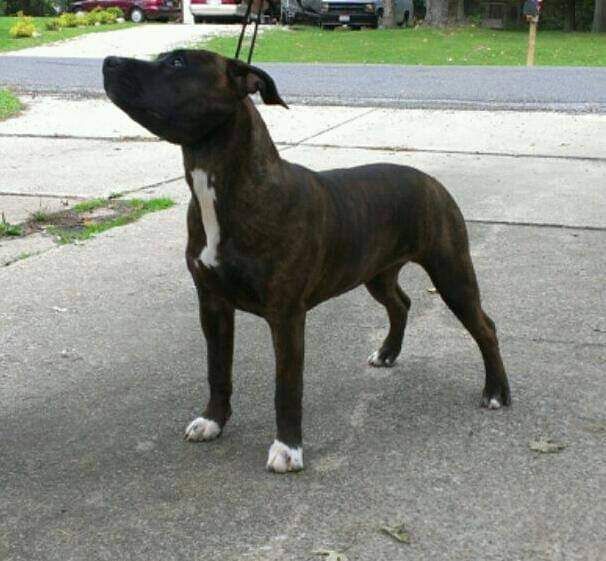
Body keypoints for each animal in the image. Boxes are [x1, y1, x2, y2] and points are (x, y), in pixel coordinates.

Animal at [103, 49, 511, 473]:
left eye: (178, 64)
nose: (108, 61)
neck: (222, 183)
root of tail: (431, 181)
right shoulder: (212, 304)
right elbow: (217, 369)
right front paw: (213, 420)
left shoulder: (286, 315)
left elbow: (287, 386)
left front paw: (288, 448)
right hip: (378, 273)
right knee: (400, 303)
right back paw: (387, 353)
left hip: (452, 273)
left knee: (485, 327)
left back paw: (496, 391)